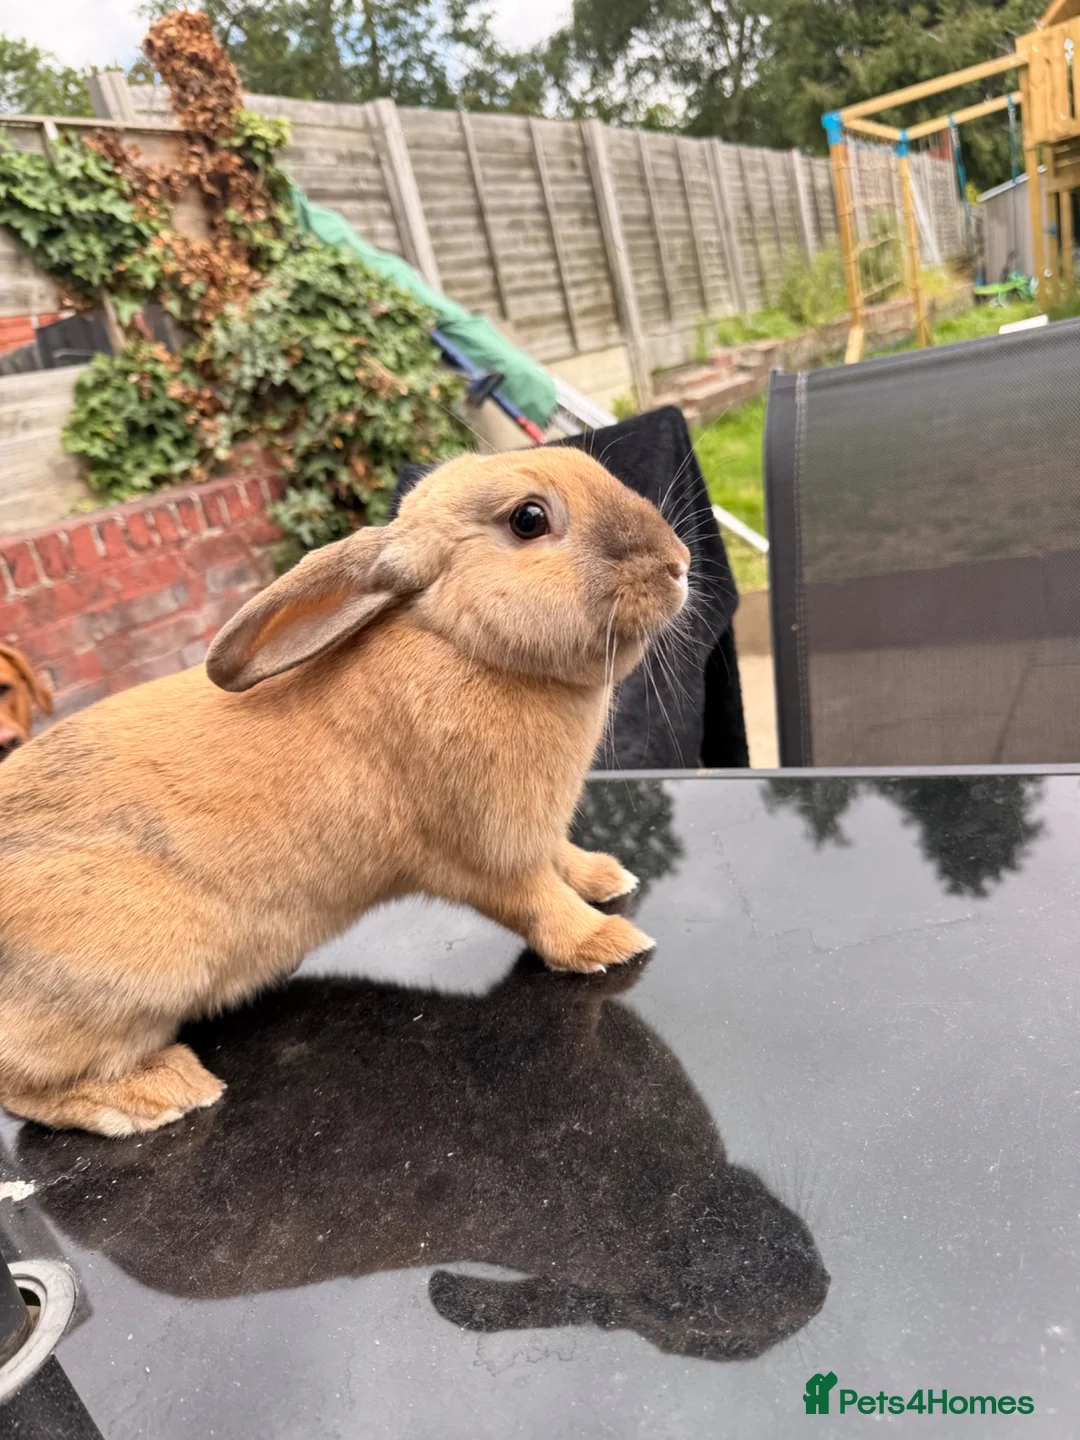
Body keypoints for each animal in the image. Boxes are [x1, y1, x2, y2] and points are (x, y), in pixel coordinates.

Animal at [0, 447, 690, 1137]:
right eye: (529, 519)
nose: (679, 563)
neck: (461, 644)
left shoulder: (537, 835)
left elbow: (564, 862)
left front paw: (607, 877)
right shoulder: (487, 854)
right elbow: (539, 904)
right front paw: (607, 942)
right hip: (133, 981)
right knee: (26, 1084)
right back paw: (160, 1091)